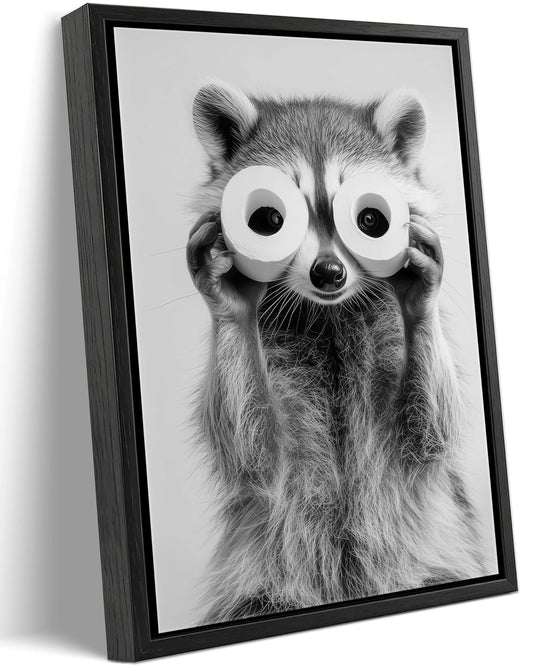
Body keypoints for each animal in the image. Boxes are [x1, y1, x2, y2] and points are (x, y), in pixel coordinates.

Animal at [186, 81, 486, 625]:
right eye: (269, 220)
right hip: (264, 584)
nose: (328, 273)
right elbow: (255, 454)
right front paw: (228, 303)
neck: (329, 313)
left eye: (370, 219)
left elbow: (429, 433)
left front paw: (422, 301)